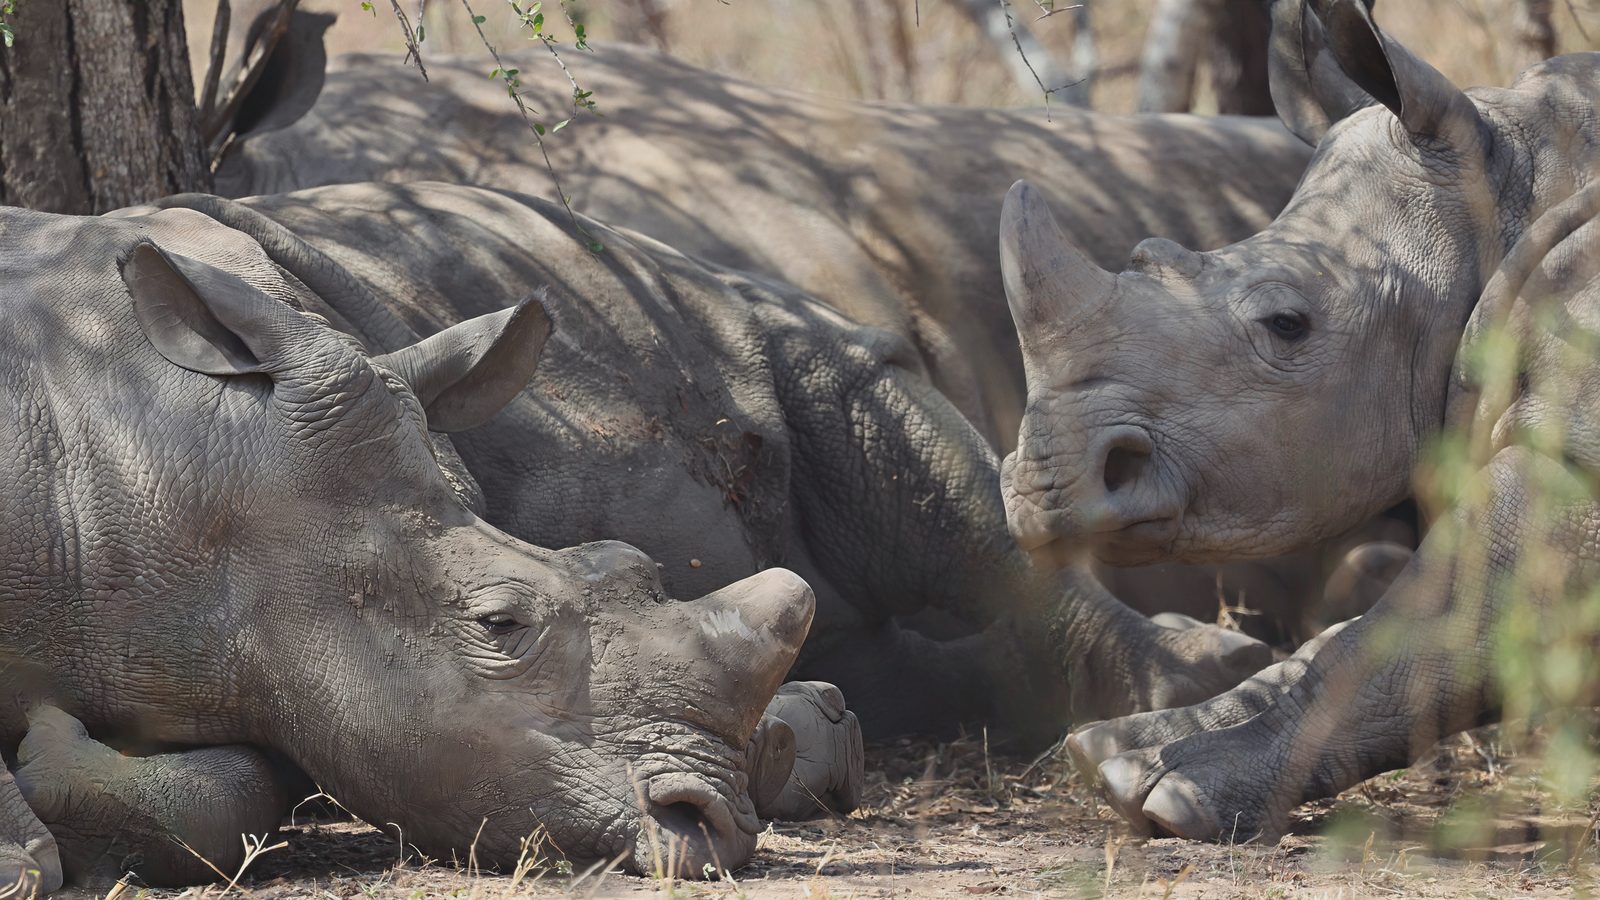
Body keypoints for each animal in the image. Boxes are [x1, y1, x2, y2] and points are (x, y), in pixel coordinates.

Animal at [998, 0, 1600, 841]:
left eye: (1286, 325)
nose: (1039, 486)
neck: (1519, 179)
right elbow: (1344, 636)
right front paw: (1112, 750)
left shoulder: (1575, 448)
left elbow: (1424, 627)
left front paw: (1171, 791)